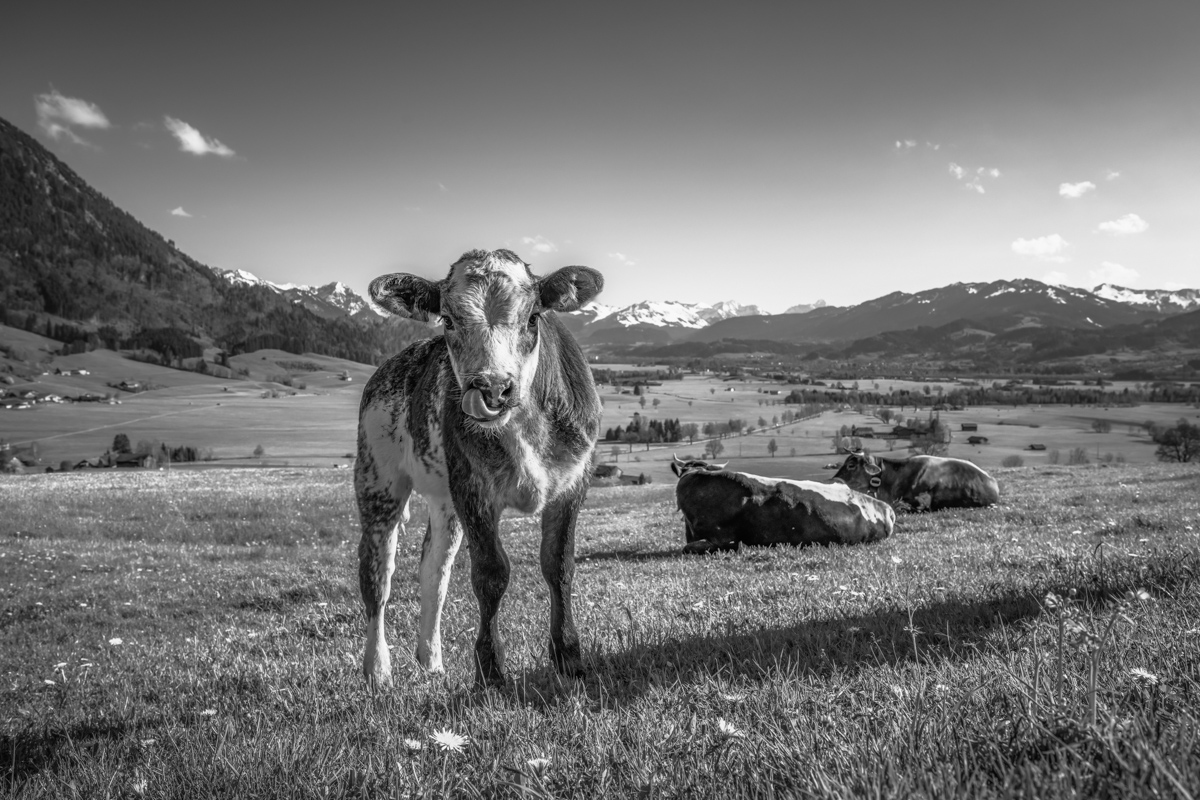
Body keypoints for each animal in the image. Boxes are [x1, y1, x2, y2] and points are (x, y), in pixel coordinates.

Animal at [355, 249, 603, 689]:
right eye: (448, 320)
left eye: (533, 317)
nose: (492, 388)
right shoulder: (474, 489)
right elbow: (490, 574)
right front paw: (490, 669)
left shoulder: (574, 482)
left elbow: (559, 565)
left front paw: (569, 657)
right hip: (377, 480)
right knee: (376, 576)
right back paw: (378, 669)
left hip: (444, 499)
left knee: (434, 572)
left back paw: (431, 659)